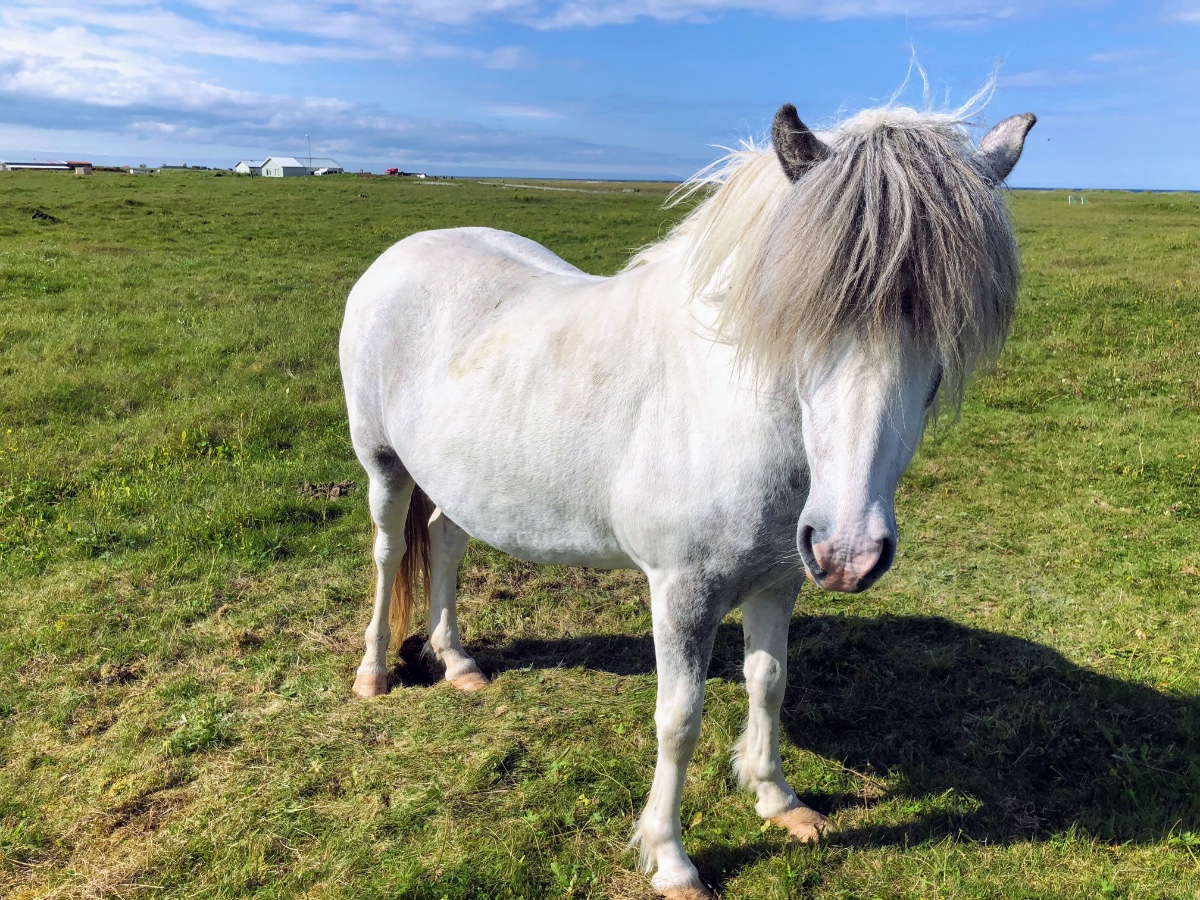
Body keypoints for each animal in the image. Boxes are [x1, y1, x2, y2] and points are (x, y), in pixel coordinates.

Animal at [339, 99, 1034, 898]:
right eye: (808, 316)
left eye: (942, 332)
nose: (850, 552)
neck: (728, 417)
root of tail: (402, 253)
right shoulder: (682, 594)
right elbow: (679, 720)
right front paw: (671, 859)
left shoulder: (780, 579)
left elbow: (769, 682)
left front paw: (778, 800)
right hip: (384, 465)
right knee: (391, 552)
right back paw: (372, 674)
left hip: (463, 479)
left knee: (449, 539)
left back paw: (458, 664)